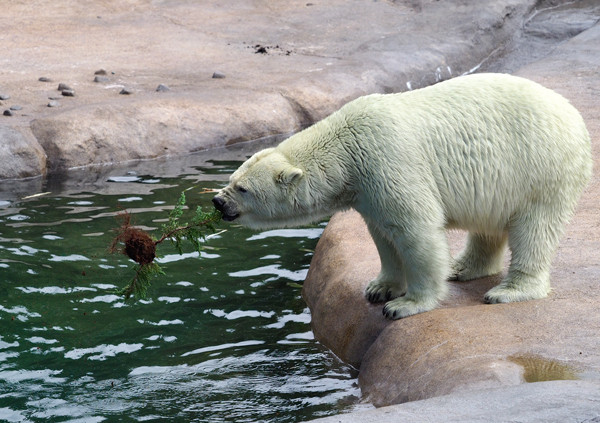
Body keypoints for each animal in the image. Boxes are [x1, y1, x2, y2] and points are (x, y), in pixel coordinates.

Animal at [213, 73, 592, 320]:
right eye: (231, 178)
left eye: (243, 188)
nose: (219, 201)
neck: (345, 147)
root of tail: (575, 117)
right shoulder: (367, 190)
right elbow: (383, 236)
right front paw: (379, 288)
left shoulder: (387, 162)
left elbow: (416, 232)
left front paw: (405, 305)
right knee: (488, 225)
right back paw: (462, 267)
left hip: (540, 169)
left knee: (535, 230)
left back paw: (509, 290)